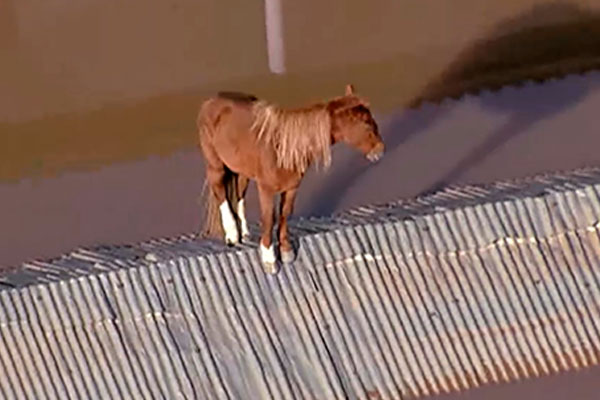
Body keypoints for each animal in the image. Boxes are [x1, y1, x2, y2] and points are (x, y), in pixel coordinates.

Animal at [197, 83, 384, 272]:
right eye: (366, 123)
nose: (380, 150)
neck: (282, 148)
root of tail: (212, 101)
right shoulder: (266, 189)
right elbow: (269, 218)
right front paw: (269, 258)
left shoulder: (292, 187)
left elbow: (285, 214)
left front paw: (286, 251)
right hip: (215, 165)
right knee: (220, 192)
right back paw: (232, 235)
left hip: (242, 170)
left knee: (239, 194)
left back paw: (243, 232)